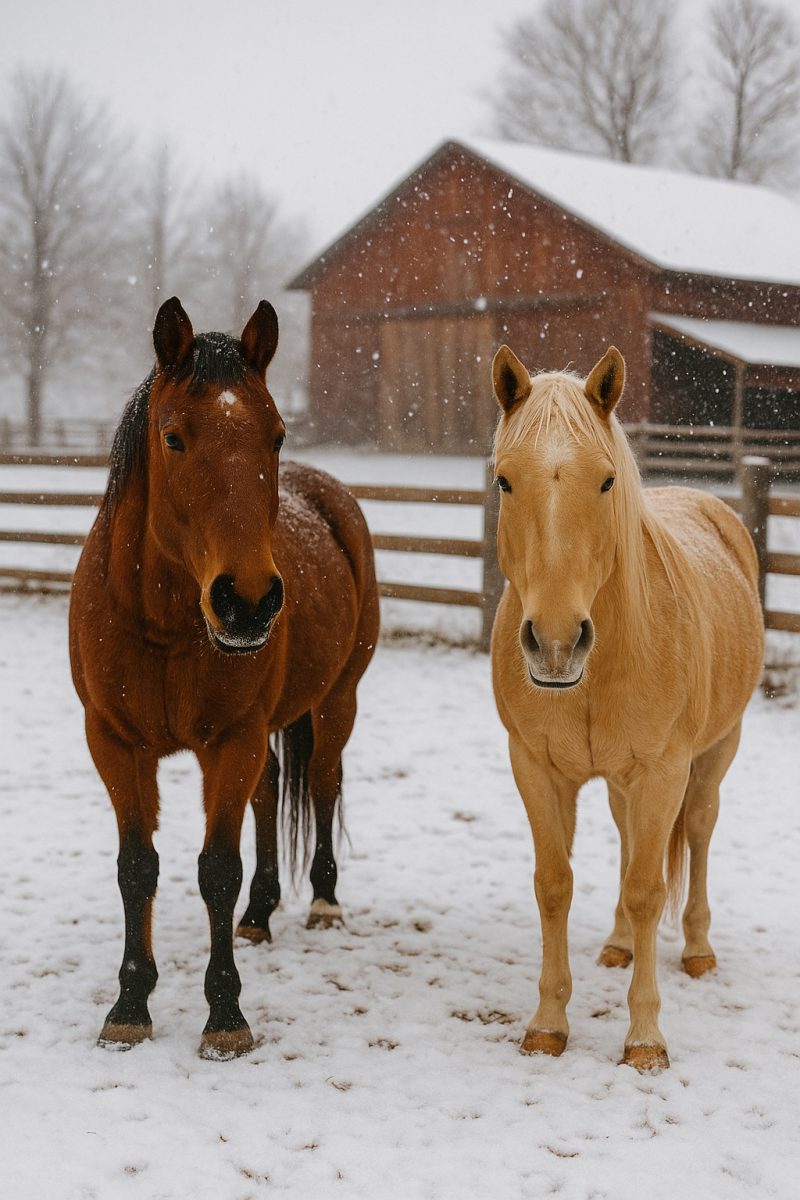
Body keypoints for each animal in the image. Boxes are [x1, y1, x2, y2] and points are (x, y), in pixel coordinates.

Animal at [70, 297, 379, 1059]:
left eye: (276, 435)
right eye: (174, 438)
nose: (248, 600)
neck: (162, 624)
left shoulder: (230, 741)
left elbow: (216, 868)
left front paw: (225, 1015)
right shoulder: (114, 744)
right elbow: (137, 866)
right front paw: (130, 1005)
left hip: (336, 703)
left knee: (322, 783)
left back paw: (323, 901)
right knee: (270, 797)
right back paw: (260, 913)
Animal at [490, 343, 764, 1072]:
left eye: (608, 481)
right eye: (504, 481)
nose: (557, 641)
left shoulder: (663, 772)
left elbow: (647, 889)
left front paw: (645, 1039)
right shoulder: (536, 768)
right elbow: (554, 883)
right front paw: (548, 1024)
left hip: (714, 755)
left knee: (697, 832)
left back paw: (697, 949)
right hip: (619, 780)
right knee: (626, 842)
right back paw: (616, 945)